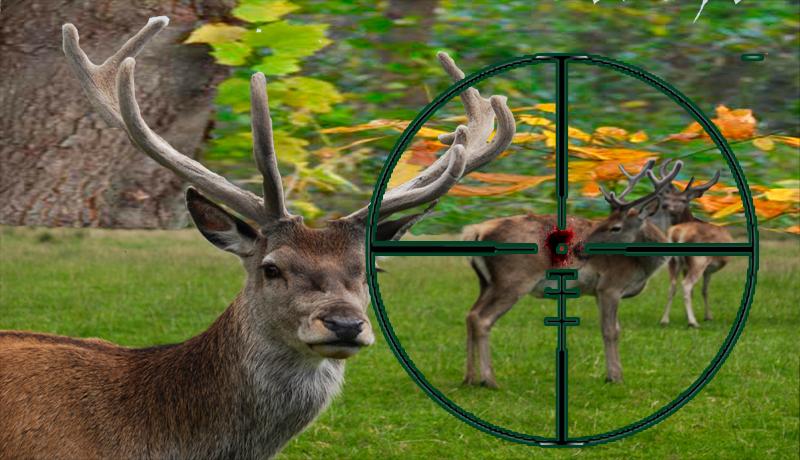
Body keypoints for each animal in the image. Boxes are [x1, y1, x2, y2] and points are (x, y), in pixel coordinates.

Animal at [461, 159, 682, 386]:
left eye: (615, 227)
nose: (578, 248)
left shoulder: (599, 291)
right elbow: (611, 330)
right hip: (513, 279)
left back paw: (469, 378)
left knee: (470, 314)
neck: (642, 265)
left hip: (487, 282)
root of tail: (476, 231)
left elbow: (611, 328)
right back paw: (489, 380)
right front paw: (615, 377)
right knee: (482, 319)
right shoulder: (610, 285)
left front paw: (612, 374)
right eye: (604, 222)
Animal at [653, 160, 732, 328]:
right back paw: (693, 322)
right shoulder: (708, 268)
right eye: (667, 197)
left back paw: (664, 320)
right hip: (699, 259)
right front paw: (708, 316)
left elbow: (698, 290)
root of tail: (678, 233)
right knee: (686, 285)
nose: (665, 205)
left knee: (672, 285)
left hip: (673, 261)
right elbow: (704, 290)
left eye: (683, 200)